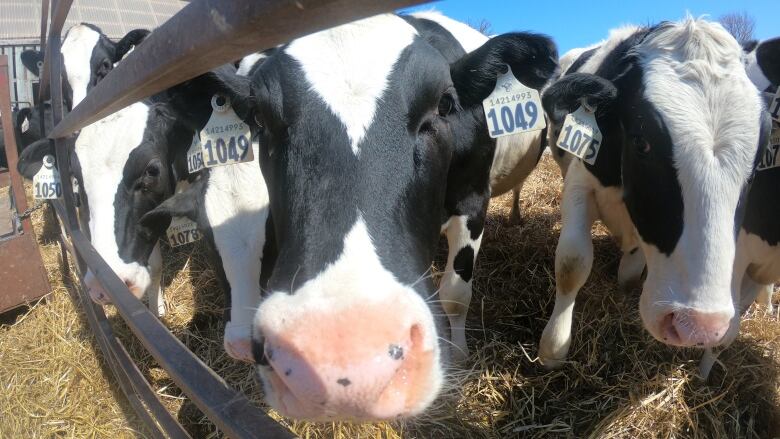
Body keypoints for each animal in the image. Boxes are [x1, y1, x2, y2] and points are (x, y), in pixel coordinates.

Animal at [204, 12, 556, 422]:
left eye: (445, 104)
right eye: (259, 115)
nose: (345, 359)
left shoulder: (473, 200)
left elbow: (455, 294)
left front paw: (458, 356)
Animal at [536, 18, 768, 370]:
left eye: (755, 166)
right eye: (641, 142)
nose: (699, 327)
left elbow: (630, 274)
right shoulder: (579, 183)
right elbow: (572, 262)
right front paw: (553, 349)